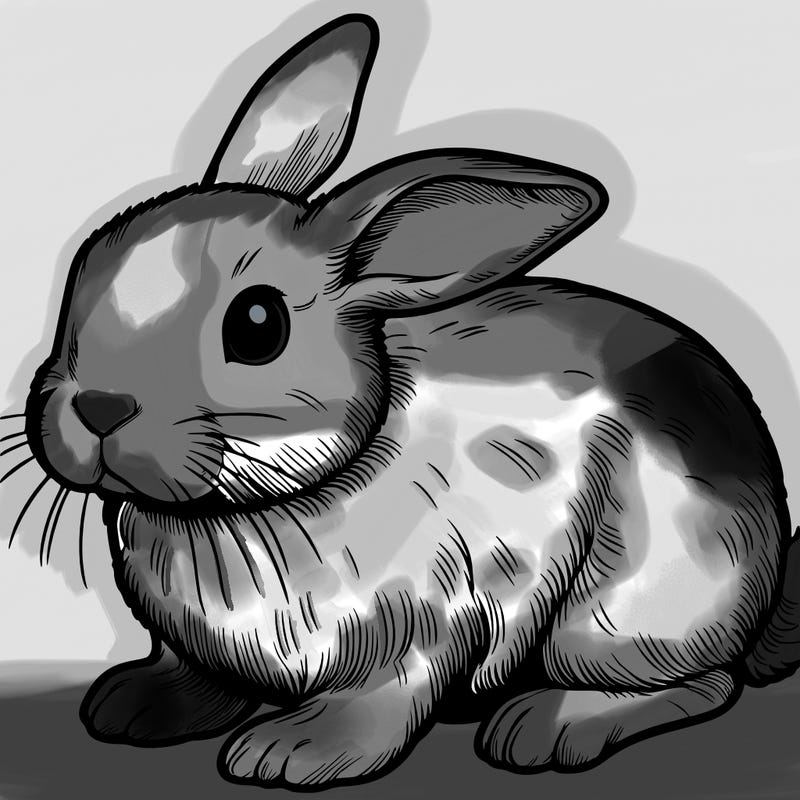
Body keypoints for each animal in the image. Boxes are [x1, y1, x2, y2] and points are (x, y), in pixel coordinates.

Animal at [15, 11, 800, 790]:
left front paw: (294, 752)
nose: (99, 407)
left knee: (702, 683)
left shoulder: (424, 624)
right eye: (88, 265)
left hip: (625, 613)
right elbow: (194, 674)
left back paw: (543, 727)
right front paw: (134, 704)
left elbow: (383, 698)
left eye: (257, 325)